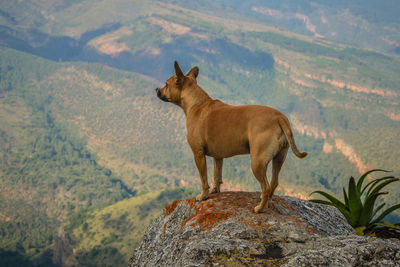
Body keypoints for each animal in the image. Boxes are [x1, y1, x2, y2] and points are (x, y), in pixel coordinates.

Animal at [155, 61, 306, 214]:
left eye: (166, 84)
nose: (156, 89)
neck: (196, 103)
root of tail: (279, 117)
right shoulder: (218, 156)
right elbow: (217, 175)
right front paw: (215, 190)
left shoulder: (198, 154)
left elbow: (204, 179)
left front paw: (203, 195)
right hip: (279, 158)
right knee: (274, 183)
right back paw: (268, 203)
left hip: (257, 162)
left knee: (266, 186)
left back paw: (260, 208)